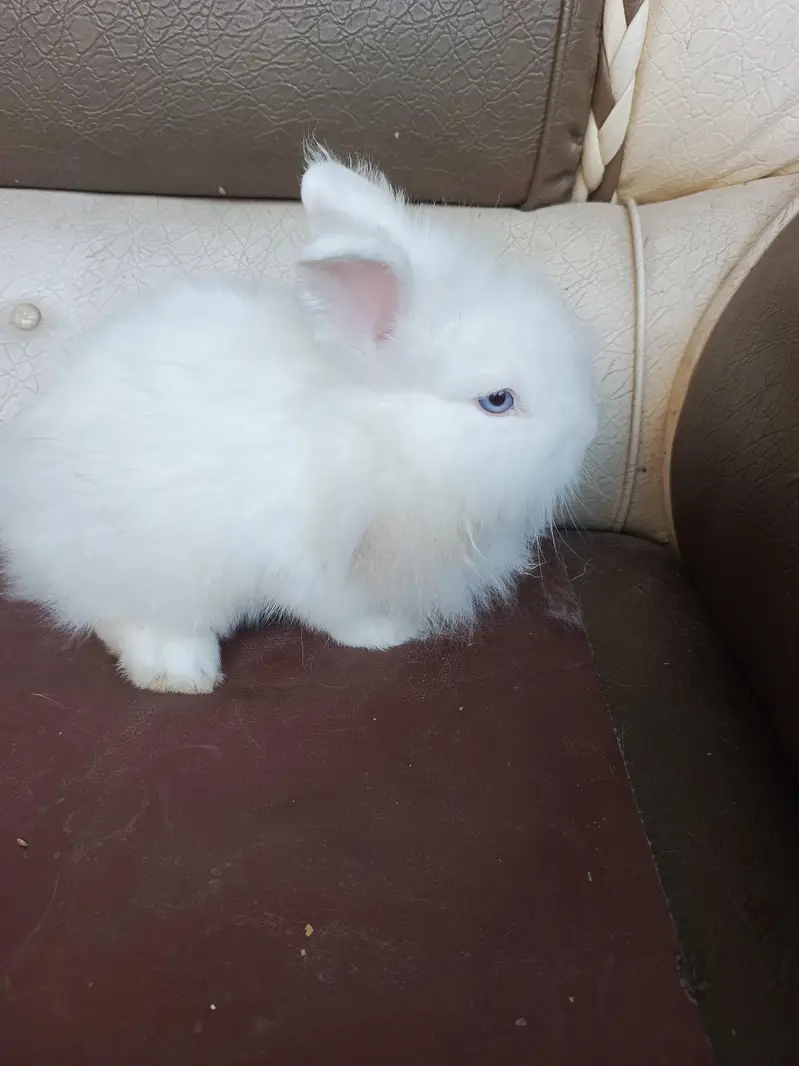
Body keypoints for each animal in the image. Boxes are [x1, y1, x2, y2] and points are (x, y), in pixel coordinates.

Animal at [0, 150, 598, 694]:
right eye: (497, 400)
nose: (587, 431)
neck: (380, 437)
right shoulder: (314, 563)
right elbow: (339, 613)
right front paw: (389, 635)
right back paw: (181, 673)